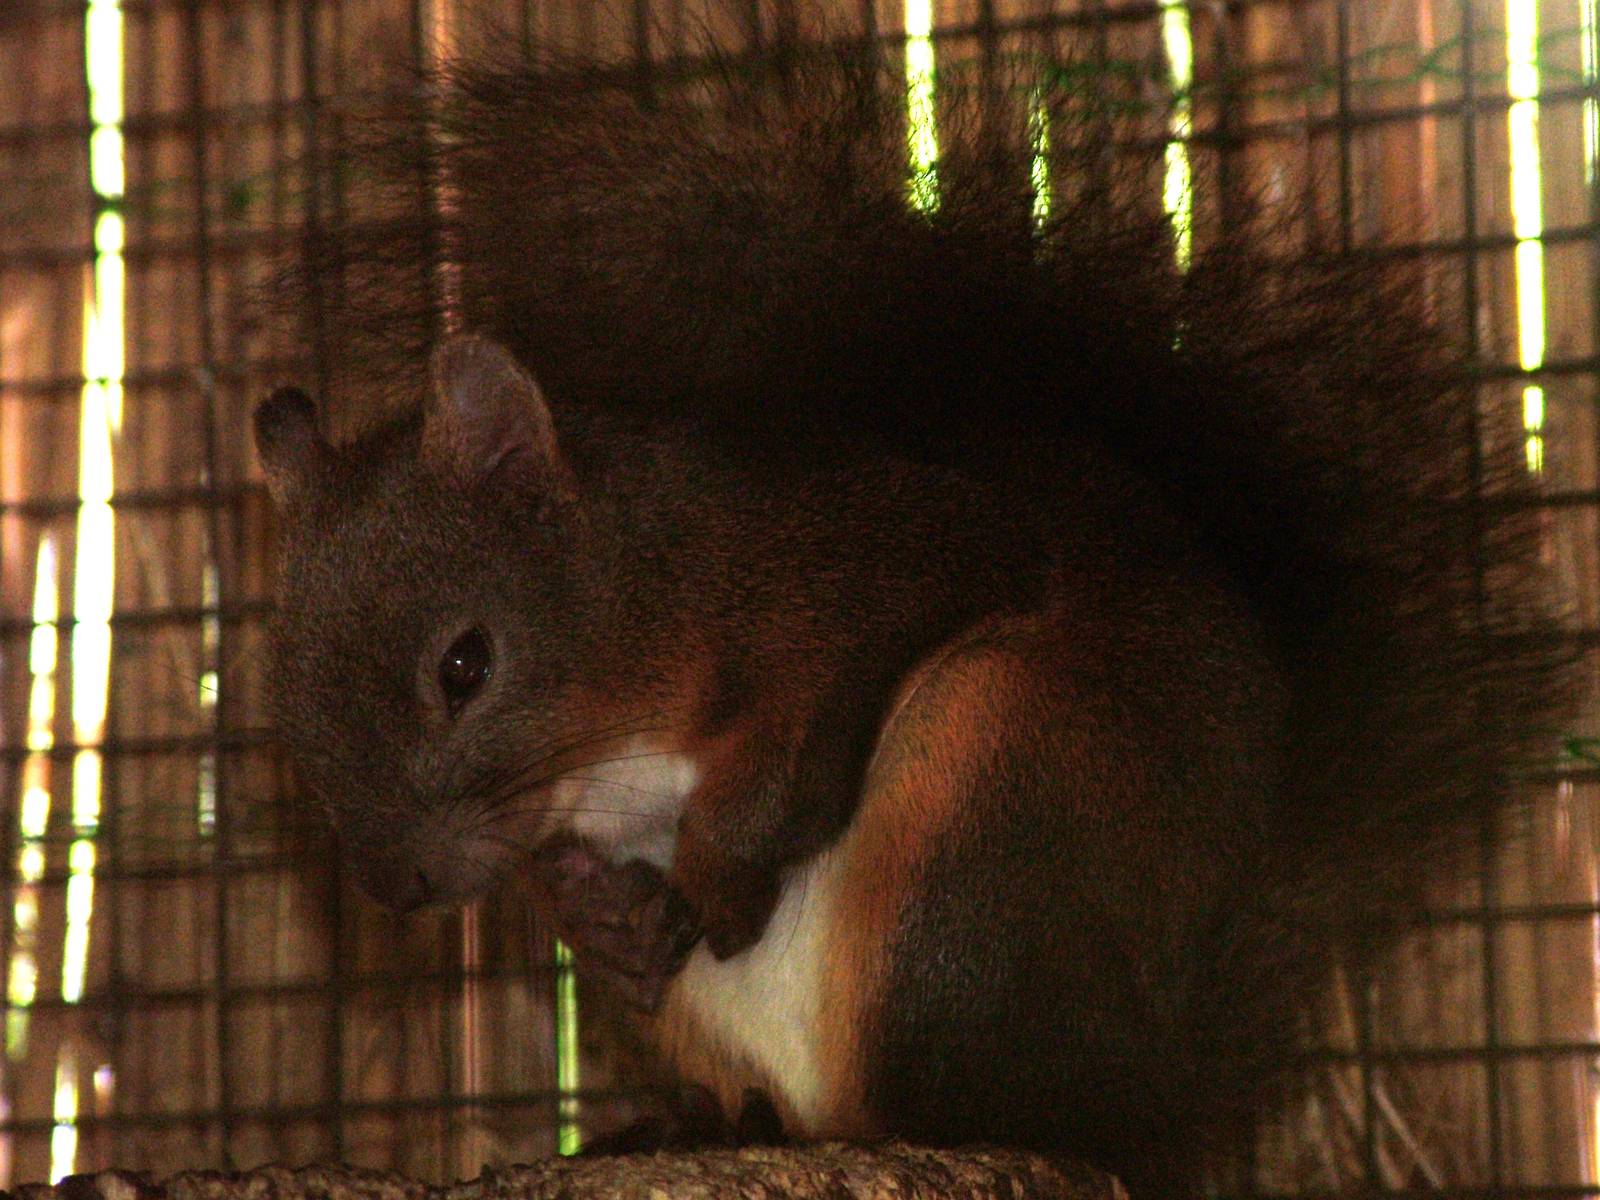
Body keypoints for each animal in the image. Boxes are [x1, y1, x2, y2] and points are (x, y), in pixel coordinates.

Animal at [253, 34, 1579, 1195]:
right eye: (284, 701)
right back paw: (700, 1125)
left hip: (990, 797)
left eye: (464, 664)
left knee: (965, 1091)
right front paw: (605, 914)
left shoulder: (860, 560)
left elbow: (804, 738)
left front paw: (719, 871)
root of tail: (1147, 1093)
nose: (396, 886)